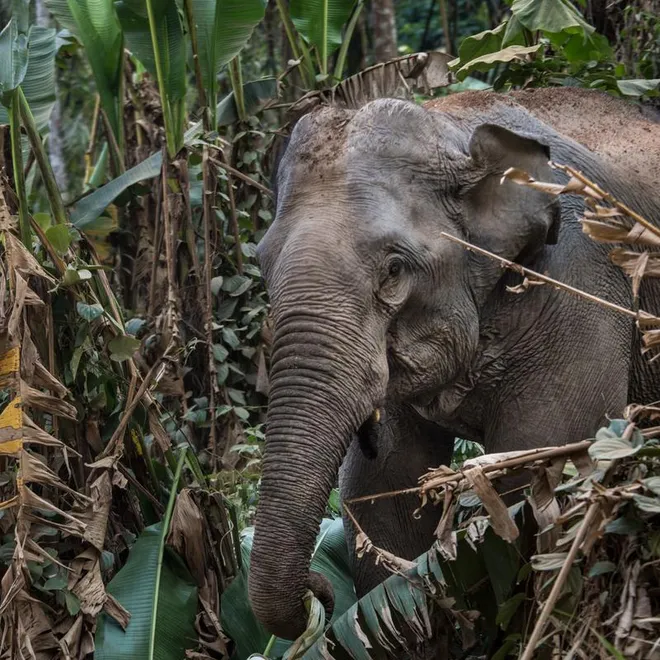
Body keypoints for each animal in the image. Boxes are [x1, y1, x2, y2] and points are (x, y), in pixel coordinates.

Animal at [247, 87, 660, 647]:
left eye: (394, 269)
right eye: (263, 264)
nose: (321, 595)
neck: (452, 127)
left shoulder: (577, 282)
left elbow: (544, 475)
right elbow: (385, 499)